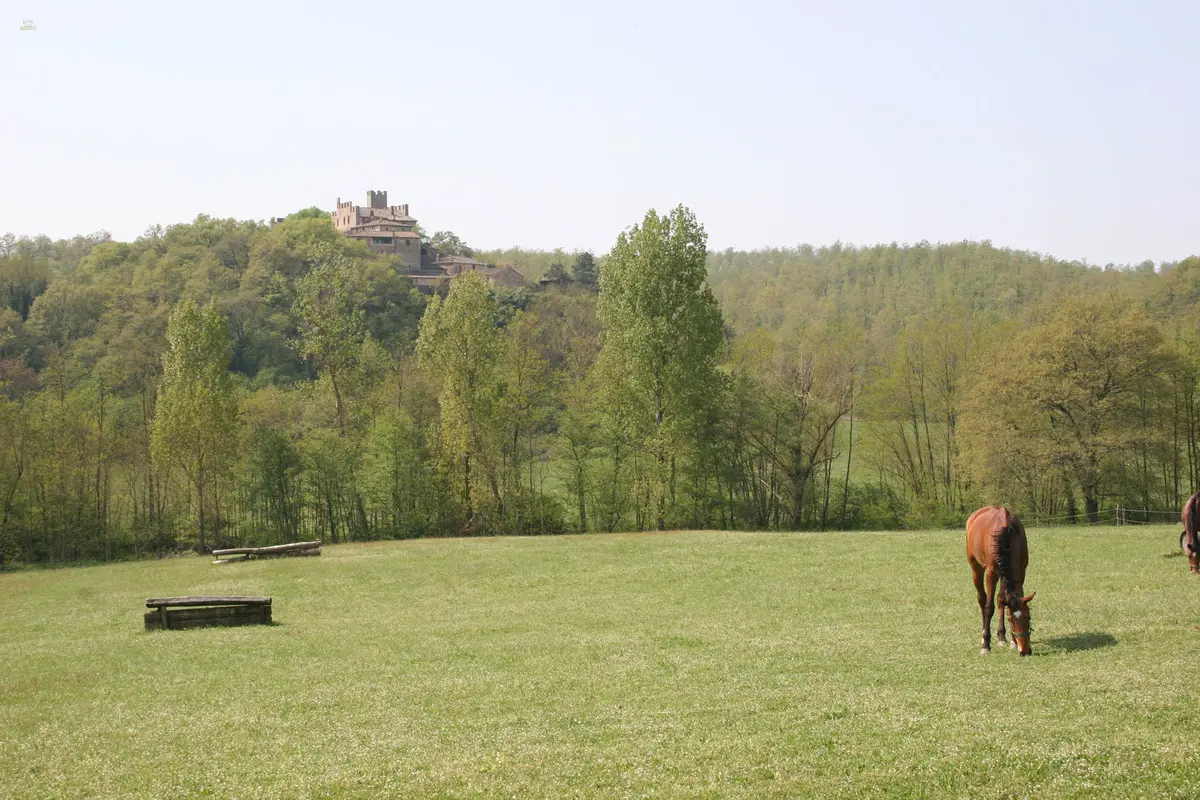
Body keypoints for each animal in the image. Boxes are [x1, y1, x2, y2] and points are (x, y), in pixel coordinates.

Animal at [964, 506, 1032, 657]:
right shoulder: (991, 573)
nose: (1025, 651)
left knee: (1000, 599)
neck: (1007, 533)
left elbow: (1002, 601)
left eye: (1028, 617)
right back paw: (983, 634)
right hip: (976, 568)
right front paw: (985, 644)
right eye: (1010, 619)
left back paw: (1001, 637)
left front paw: (1011, 641)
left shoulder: (1021, 570)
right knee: (982, 600)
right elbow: (989, 607)